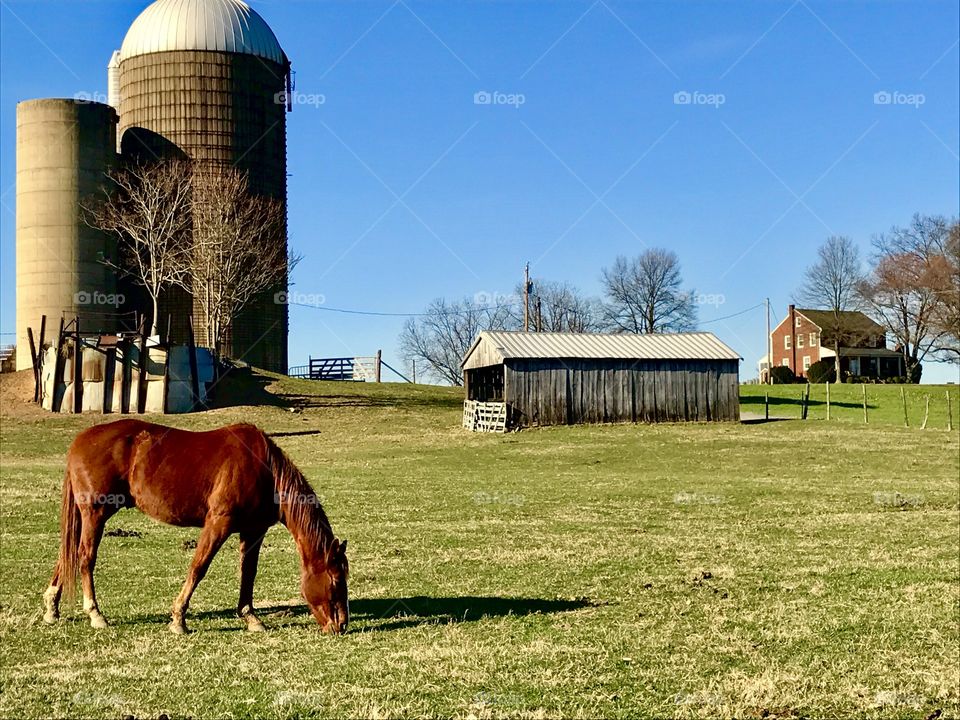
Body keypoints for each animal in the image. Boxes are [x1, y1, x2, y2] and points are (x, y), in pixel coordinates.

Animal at [42, 420, 348, 632]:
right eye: (335, 580)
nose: (342, 624)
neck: (266, 471)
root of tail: (79, 442)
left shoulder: (253, 532)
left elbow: (248, 573)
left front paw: (250, 617)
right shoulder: (218, 523)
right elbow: (198, 567)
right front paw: (179, 618)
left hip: (84, 517)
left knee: (67, 556)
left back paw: (51, 608)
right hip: (95, 514)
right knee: (84, 558)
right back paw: (96, 614)